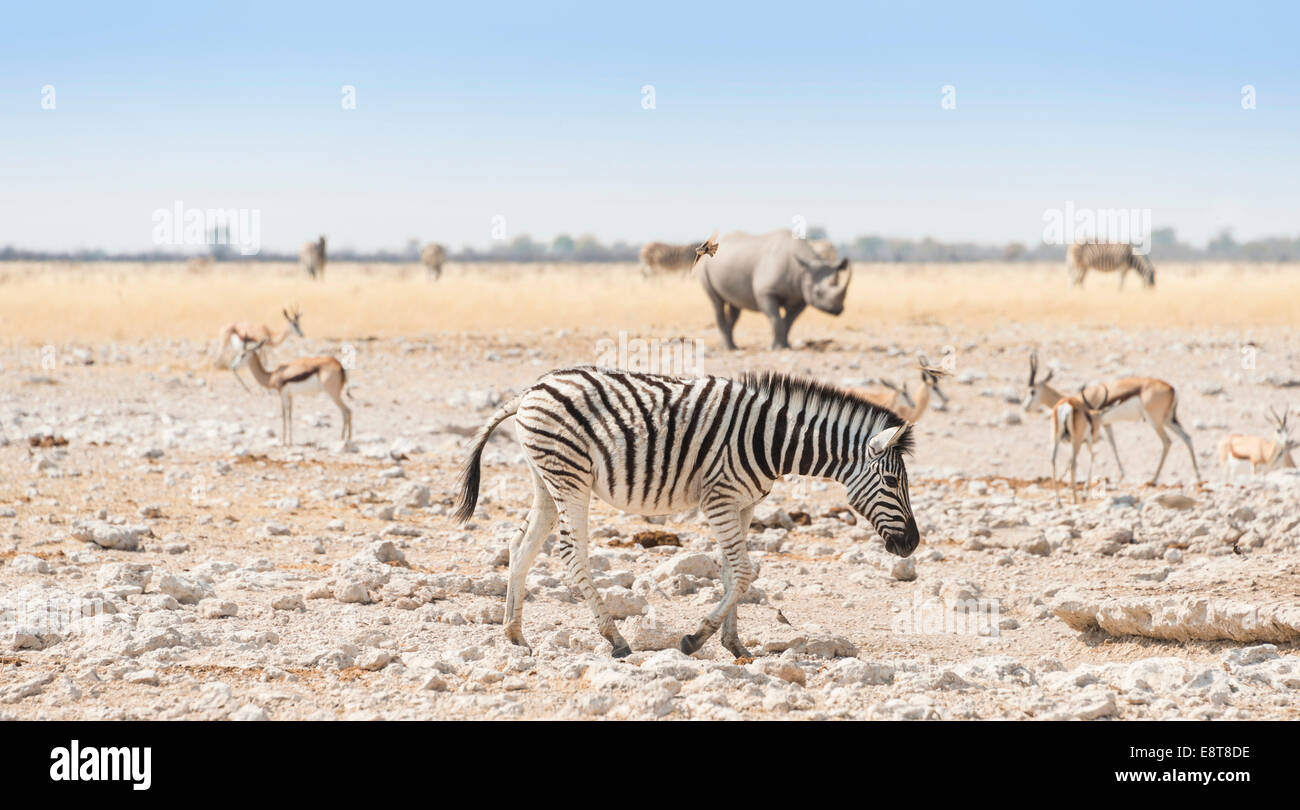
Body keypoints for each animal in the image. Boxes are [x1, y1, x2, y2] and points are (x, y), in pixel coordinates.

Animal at [452, 366, 920, 660]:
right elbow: (744, 572)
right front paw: (695, 639)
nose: (912, 543)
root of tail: (530, 390)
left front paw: (736, 646)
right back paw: (615, 639)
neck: (772, 440)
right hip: (570, 478)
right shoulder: (720, 499)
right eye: (892, 482)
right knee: (571, 553)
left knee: (521, 545)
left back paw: (515, 635)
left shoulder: (744, 504)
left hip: (545, 479)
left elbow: (733, 572)